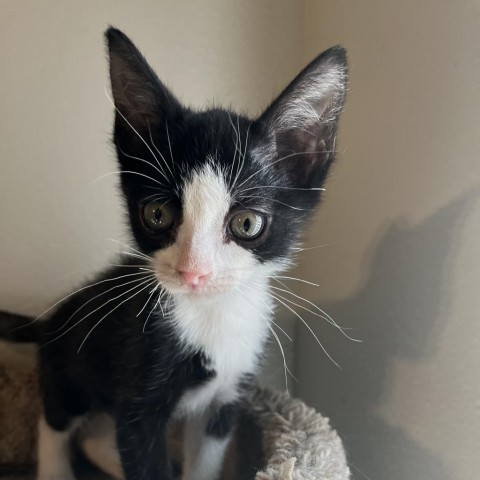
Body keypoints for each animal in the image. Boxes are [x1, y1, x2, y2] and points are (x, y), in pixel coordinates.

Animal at [7, 28, 346, 480]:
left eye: (246, 224)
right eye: (157, 214)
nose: (193, 273)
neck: (210, 317)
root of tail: (49, 319)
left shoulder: (226, 399)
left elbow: (203, 461)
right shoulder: (138, 397)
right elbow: (140, 454)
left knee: (94, 435)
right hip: (69, 370)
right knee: (56, 424)